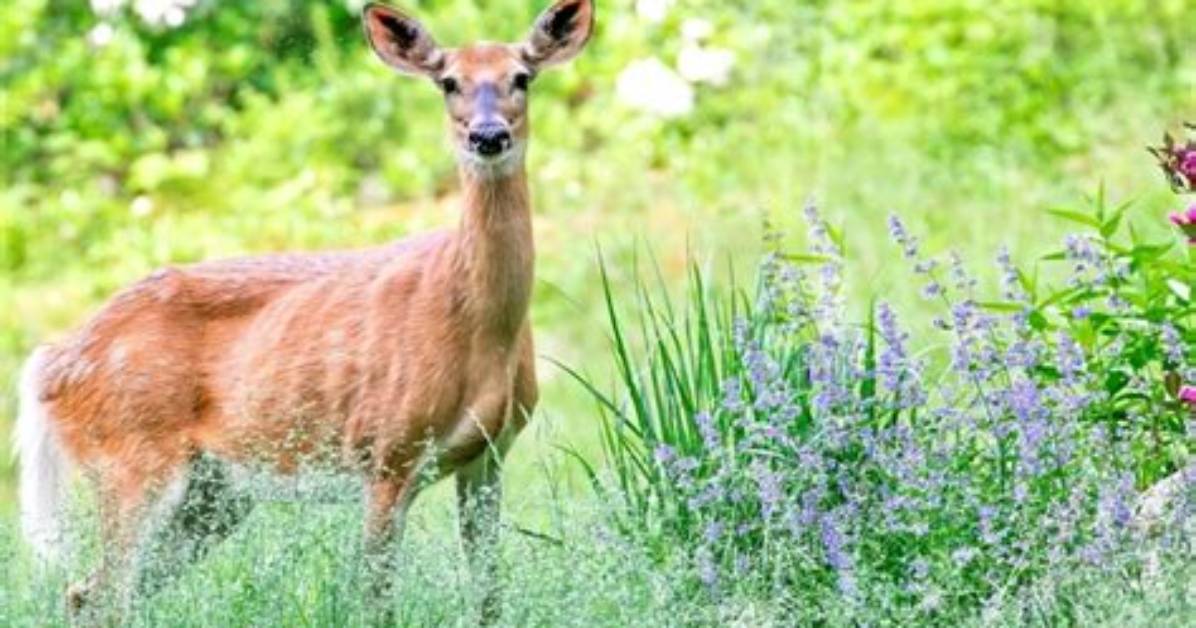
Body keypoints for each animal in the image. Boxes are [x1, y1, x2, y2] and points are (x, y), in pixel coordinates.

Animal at [13, 0, 594, 621]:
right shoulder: (386, 452)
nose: (488, 135)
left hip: (212, 493)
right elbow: (377, 602)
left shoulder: (490, 456)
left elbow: (489, 598)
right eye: (448, 82)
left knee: (87, 592)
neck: (480, 329)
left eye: (522, 77)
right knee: (105, 594)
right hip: (130, 458)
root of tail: (50, 362)